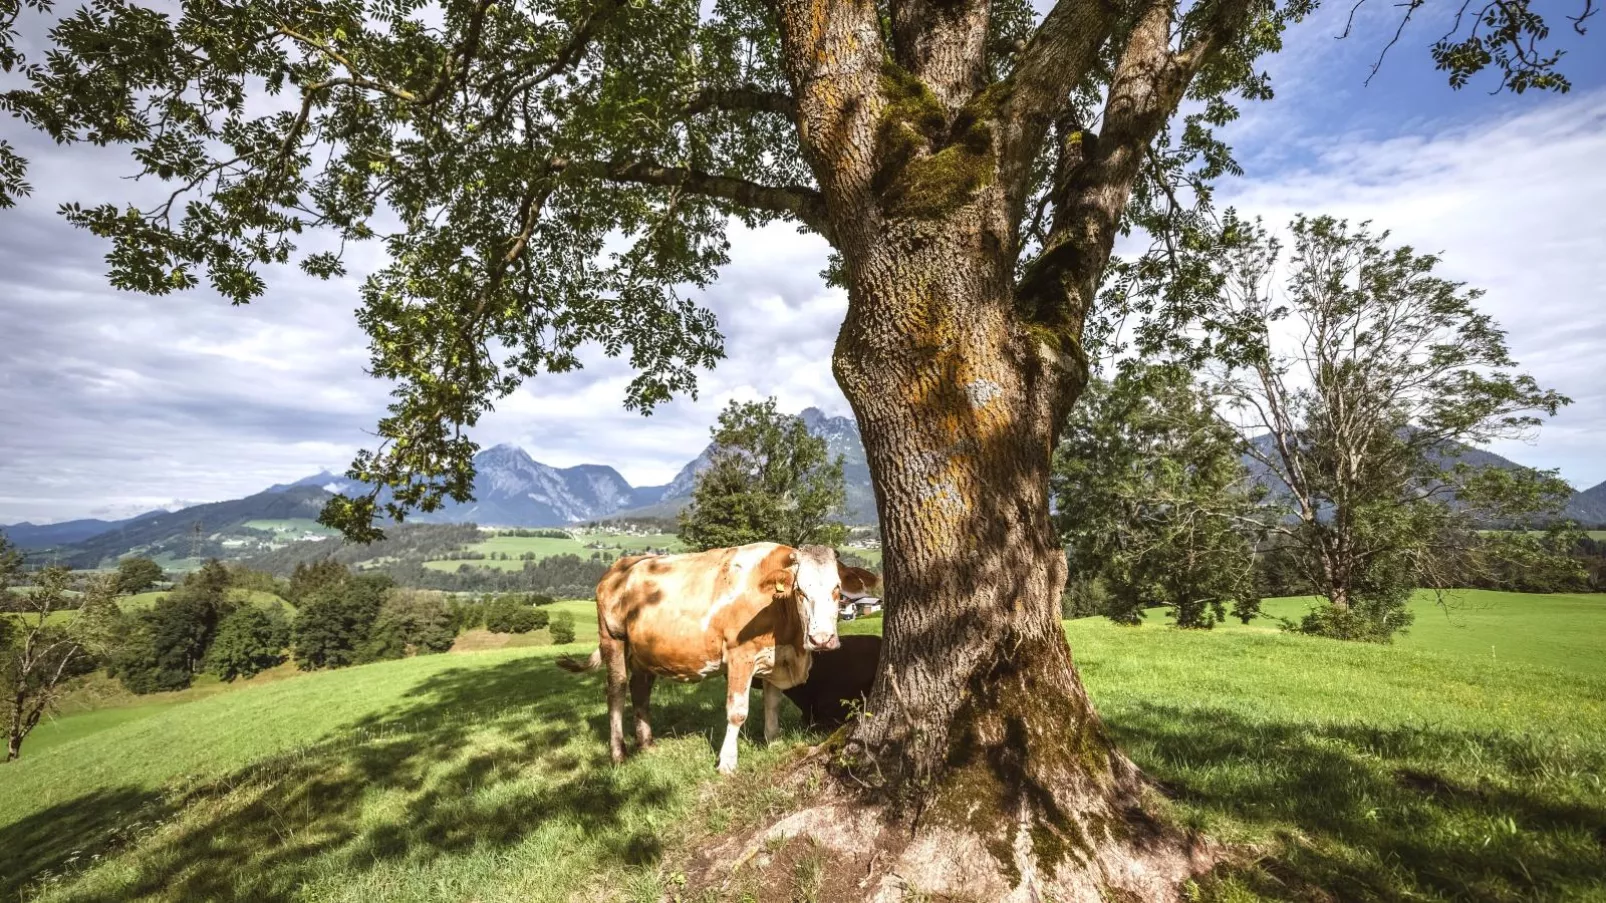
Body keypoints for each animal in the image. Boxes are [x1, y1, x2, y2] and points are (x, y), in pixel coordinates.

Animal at [552, 536, 880, 771]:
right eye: (800, 590)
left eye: (837, 591)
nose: (821, 639)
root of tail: (621, 565)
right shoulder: (740, 656)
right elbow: (737, 711)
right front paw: (727, 762)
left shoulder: (774, 659)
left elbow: (772, 705)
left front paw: (773, 742)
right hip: (613, 639)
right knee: (617, 690)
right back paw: (618, 753)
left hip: (645, 649)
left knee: (640, 689)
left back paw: (647, 744)